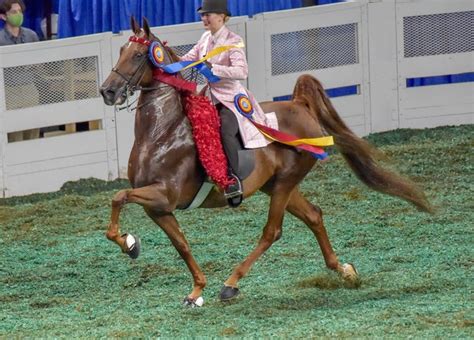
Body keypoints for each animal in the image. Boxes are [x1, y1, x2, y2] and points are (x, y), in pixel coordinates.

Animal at [98, 17, 432, 306]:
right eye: (121, 51)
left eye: (138, 55)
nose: (107, 91)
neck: (162, 132)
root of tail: (299, 104)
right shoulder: (159, 208)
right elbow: (180, 243)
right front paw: (190, 288)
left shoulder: (163, 194)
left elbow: (118, 196)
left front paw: (129, 243)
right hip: (276, 185)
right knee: (314, 215)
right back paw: (344, 271)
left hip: (285, 183)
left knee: (272, 231)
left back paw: (231, 284)